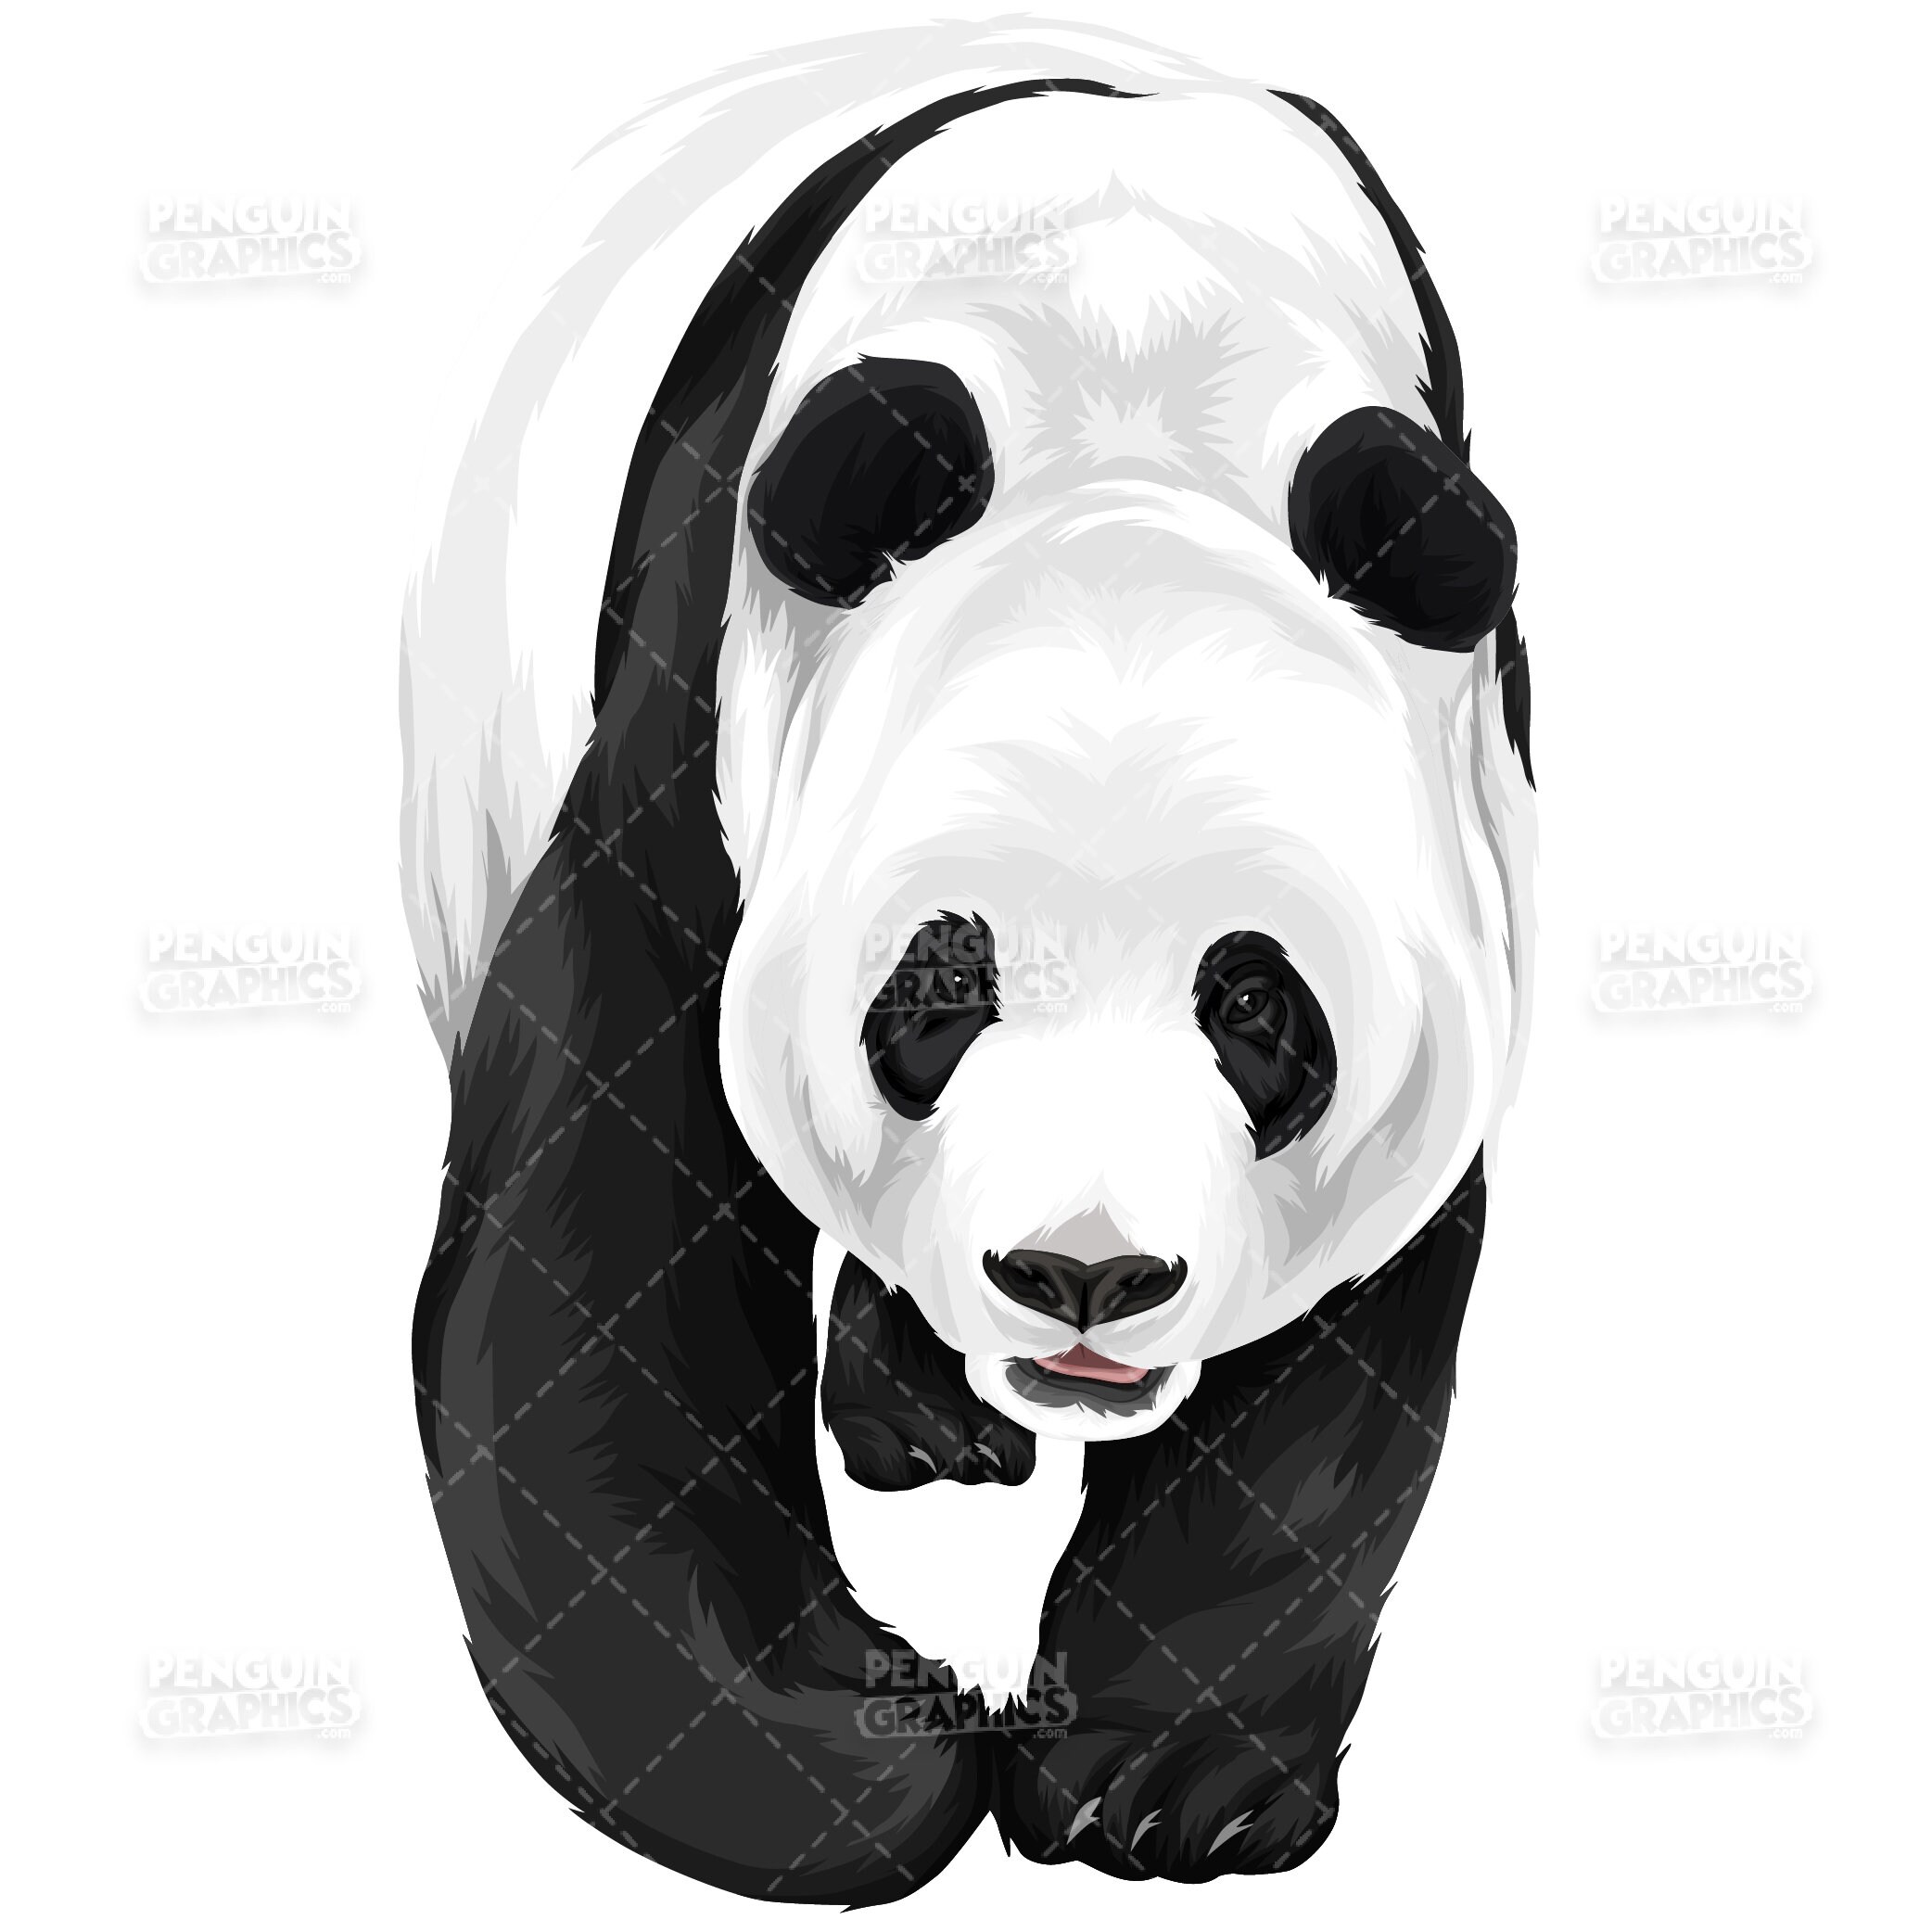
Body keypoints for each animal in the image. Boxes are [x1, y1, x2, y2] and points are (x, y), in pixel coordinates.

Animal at [405, 24, 1534, 1907]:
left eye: (1255, 1009)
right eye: (937, 999)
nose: (1082, 1274)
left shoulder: (1456, 814)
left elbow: (1340, 1352)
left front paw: (1166, 1782)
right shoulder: (699, 728)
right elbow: (591, 1252)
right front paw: (870, 1737)